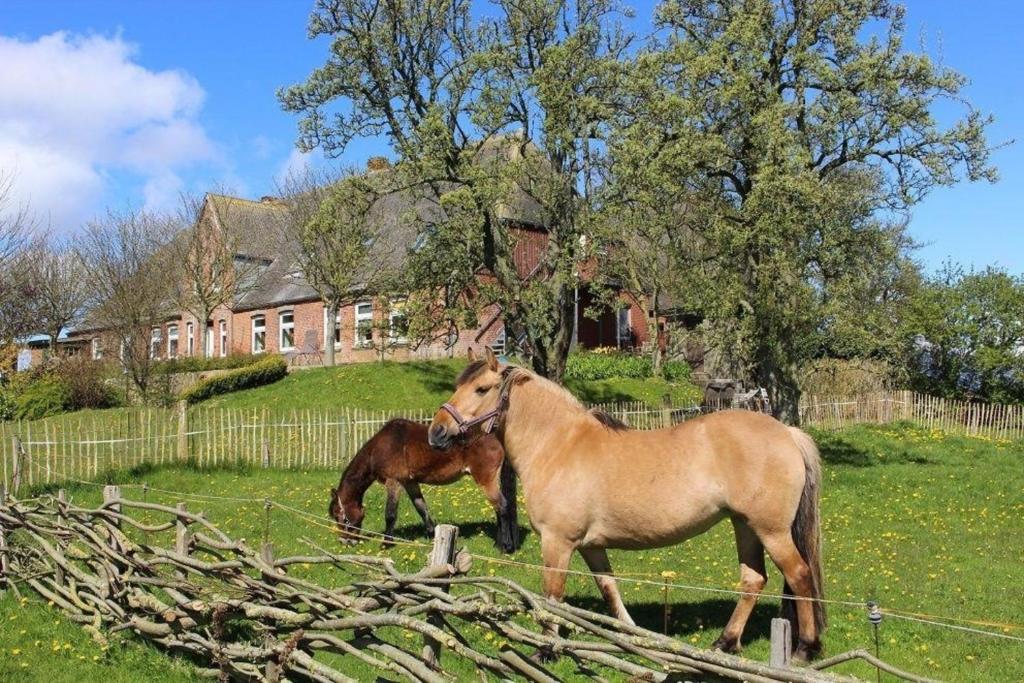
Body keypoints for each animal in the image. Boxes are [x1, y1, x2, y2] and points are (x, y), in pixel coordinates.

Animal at [329, 417, 520, 557]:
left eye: (340, 517)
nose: (344, 542)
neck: (381, 446)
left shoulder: (394, 482)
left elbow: (390, 515)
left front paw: (386, 543)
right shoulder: (410, 483)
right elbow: (421, 508)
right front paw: (432, 534)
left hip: (486, 481)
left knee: (502, 507)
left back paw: (506, 547)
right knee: (498, 508)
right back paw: (498, 543)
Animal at [428, 350, 827, 659]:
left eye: (481, 389)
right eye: (457, 387)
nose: (437, 431)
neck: (558, 445)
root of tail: (787, 433)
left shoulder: (557, 544)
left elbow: (552, 597)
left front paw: (545, 649)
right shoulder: (590, 546)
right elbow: (609, 589)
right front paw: (631, 637)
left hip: (771, 531)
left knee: (799, 574)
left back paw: (805, 648)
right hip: (744, 525)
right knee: (753, 580)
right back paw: (725, 643)